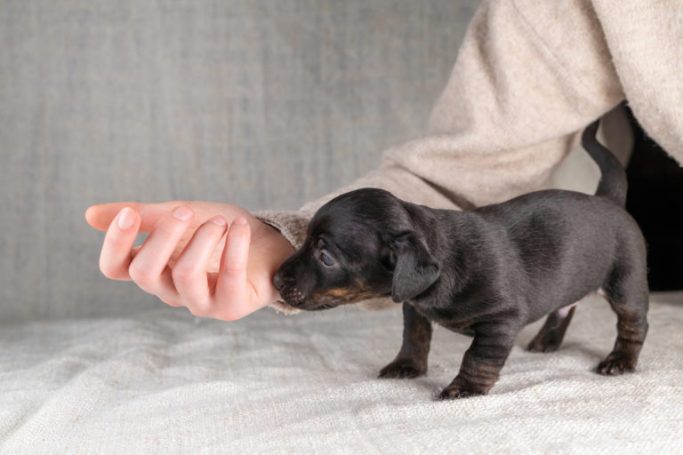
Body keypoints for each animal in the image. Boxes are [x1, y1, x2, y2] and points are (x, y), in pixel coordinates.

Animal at [272, 119, 648, 400]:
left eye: (325, 256)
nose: (275, 279)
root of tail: (609, 200)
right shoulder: (413, 305)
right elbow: (415, 337)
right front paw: (406, 366)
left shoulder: (499, 321)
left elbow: (477, 358)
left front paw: (464, 388)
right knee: (565, 306)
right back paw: (547, 341)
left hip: (626, 283)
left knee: (633, 324)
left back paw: (620, 360)